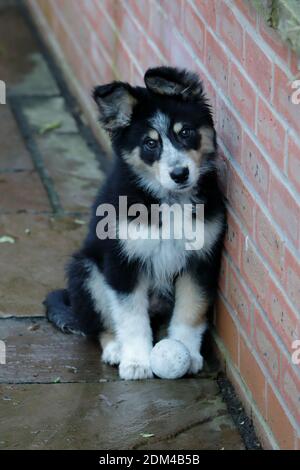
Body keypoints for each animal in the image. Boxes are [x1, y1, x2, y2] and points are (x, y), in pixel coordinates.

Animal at [45, 67, 225, 382]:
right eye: (150, 144)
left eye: (186, 132)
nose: (180, 174)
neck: (169, 200)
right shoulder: (123, 262)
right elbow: (131, 317)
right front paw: (137, 361)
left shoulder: (200, 261)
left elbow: (191, 312)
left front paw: (186, 353)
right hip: (86, 271)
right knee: (102, 325)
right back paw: (116, 348)